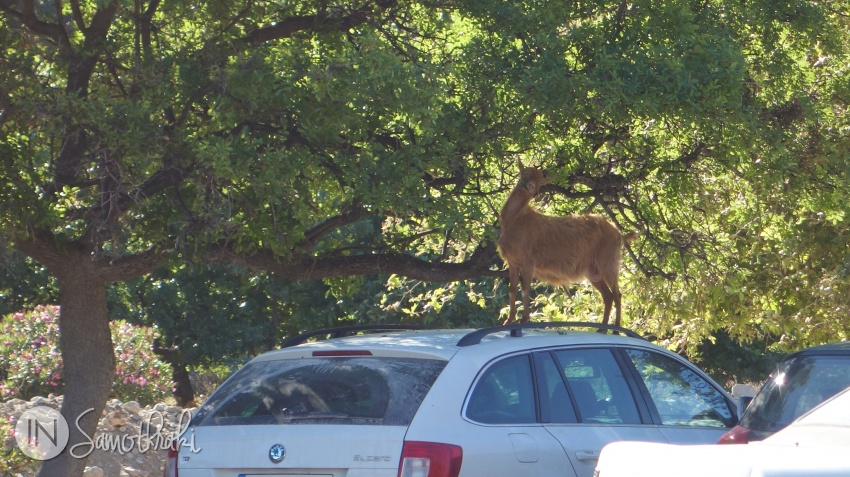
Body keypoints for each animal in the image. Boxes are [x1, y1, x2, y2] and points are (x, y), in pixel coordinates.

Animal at [496, 162, 636, 326]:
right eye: (524, 172)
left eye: (541, 181)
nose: (530, 186)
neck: (515, 219)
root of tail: (619, 234)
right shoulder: (513, 262)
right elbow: (512, 291)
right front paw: (508, 321)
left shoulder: (528, 261)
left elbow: (525, 290)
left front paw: (524, 319)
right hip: (592, 271)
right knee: (608, 296)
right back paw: (602, 327)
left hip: (608, 261)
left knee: (617, 294)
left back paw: (616, 326)